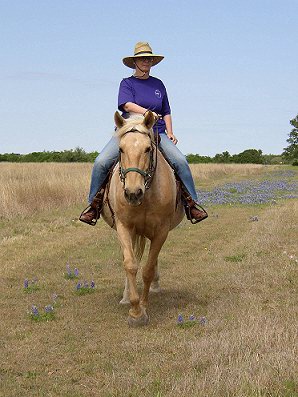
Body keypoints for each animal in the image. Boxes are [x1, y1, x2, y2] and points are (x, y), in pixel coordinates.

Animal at [101, 110, 184, 326]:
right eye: (120, 149)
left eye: (148, 149)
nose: (133, 193)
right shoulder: (123, 227)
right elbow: (130, 264)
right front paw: (135, 310)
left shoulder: (161, 231)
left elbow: (147, 269)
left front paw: (143, 307)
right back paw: (125, 296)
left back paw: (155, 285)